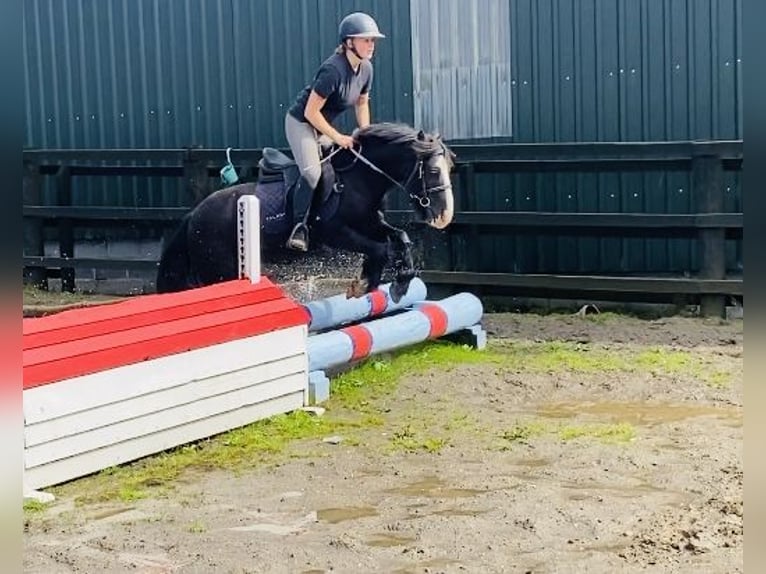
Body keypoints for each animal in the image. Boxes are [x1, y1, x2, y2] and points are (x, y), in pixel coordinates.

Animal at [156, 124, 456, 304]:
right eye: (432, 170)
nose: (444, 215)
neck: (357, 179)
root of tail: (193, 216)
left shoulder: (370, 222)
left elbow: (400, 238)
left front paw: (400, 282)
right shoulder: (334, 232)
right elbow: (380, 249)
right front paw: (364, 283)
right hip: (219, 269)